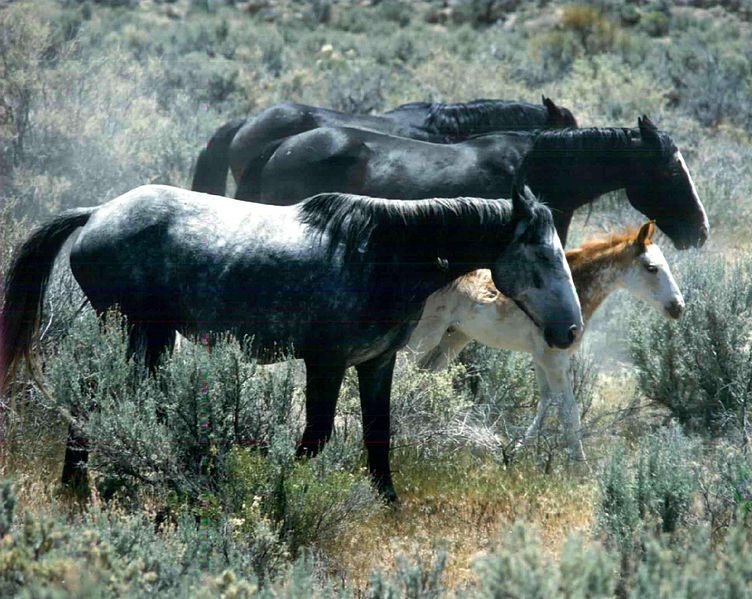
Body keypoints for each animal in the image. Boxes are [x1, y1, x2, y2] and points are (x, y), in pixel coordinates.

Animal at [1, 184, 580, 502]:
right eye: (541, 255)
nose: (570, 332)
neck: (384, 252)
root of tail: (96, 213)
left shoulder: (376, 363)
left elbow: (378, 436)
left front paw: (388, 503)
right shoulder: (326, 363)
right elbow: (316, 437)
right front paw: (277, 488)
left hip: (153, 337)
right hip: (130, 330)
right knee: (93, 395)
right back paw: (77, 481)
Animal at [408, 223, 684, 462]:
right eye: (651, 268)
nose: (678, 307)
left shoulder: (541, 358)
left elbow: (546, 402)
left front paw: (518, 453)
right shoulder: (554, 359)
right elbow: (569, 412)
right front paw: (578, 467)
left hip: (453, 338)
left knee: (425, 375)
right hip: (426, 334)